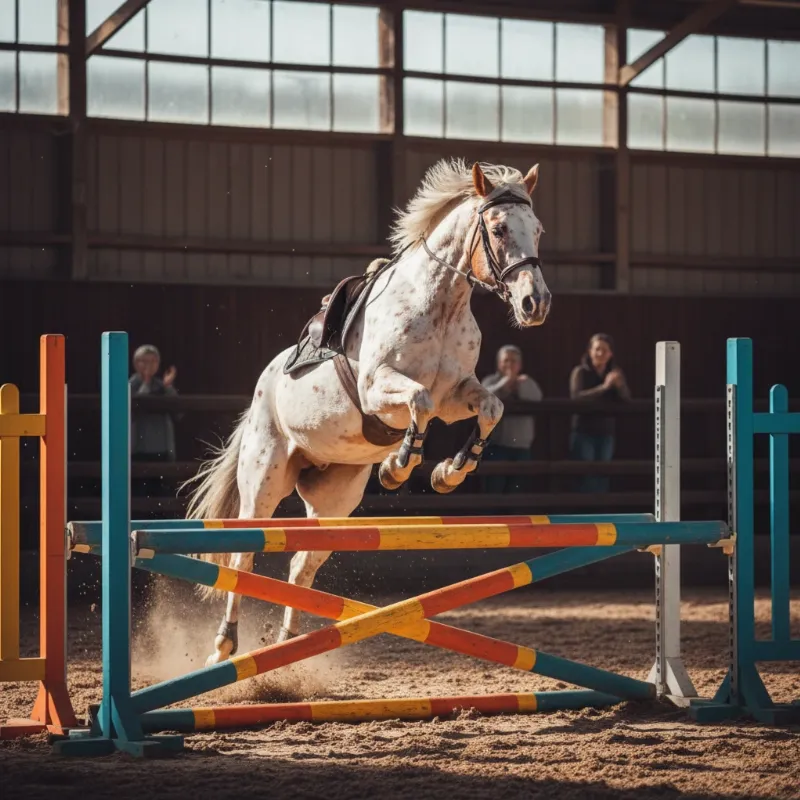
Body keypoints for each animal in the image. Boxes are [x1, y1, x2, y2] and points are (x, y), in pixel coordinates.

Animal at [185, 158, 551, 666]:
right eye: (497, 229)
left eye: (537, 230)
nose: (536, 304)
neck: (440, 303)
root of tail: (264, 384)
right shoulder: (379, 388)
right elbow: (418, 401)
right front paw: (399, 466)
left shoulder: (458, 394)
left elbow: (490, 408)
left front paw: (449, 472)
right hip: (264, 479)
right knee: (243, 558)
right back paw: (225, 646)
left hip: (335, 498)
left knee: (302, 564)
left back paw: (288, 649)